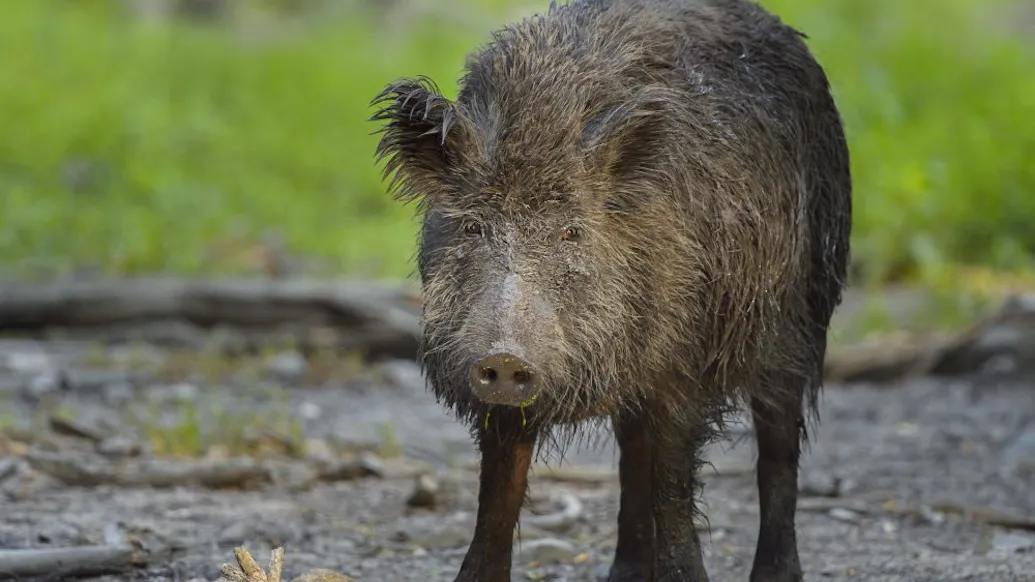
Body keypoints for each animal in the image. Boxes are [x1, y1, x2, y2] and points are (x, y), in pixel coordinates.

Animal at [370, 0, 852, 580]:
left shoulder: (684, 364)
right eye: (472, 227)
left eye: (571, 232)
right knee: (631, 454)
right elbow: (499, 493)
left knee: (778, 449)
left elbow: (673, 485)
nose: (505, 357)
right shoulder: (499, 396)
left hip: (802, 316)